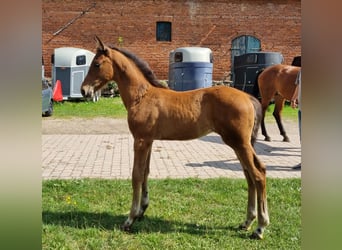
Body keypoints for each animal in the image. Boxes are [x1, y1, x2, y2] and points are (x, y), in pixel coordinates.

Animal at [81, 36, 270, 239]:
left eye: (97, 64)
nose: (84, 90)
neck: (142, 96)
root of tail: (249, 98)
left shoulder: (140, 140)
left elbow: (136, 175)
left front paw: (130, 219)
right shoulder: (148, 141)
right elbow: (145, 172)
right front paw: (141, 211)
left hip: (239, 143)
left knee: (258, 174)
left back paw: (260, 227)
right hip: (240, 144)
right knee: (251, 173)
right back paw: (247, 222)